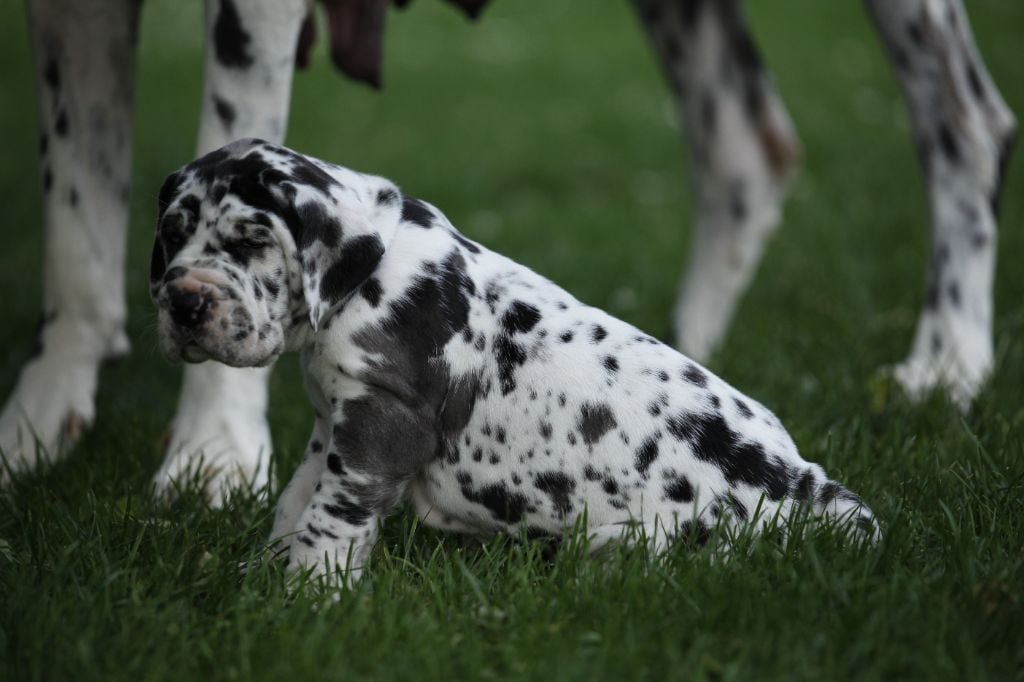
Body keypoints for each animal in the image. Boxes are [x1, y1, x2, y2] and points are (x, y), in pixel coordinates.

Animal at [2, 0, 1014, 502]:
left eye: (255, 240)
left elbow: (238, 125)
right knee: (740, 151)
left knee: (964, 122)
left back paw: (947, 363)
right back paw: (692, 341)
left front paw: (213, 450)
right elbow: (76, 213)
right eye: (168, 236)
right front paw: (38, 420)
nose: (184, 303)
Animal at [150, 139, 879, 580]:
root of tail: (809, 490)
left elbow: (333, 517)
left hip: (638, 542)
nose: (184, 302)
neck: (368, 275)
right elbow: (296, 502)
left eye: (251, 241)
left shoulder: (381, 425)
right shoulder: (333, 424)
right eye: (173, 234)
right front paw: (265, 570)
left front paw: (309, 593)